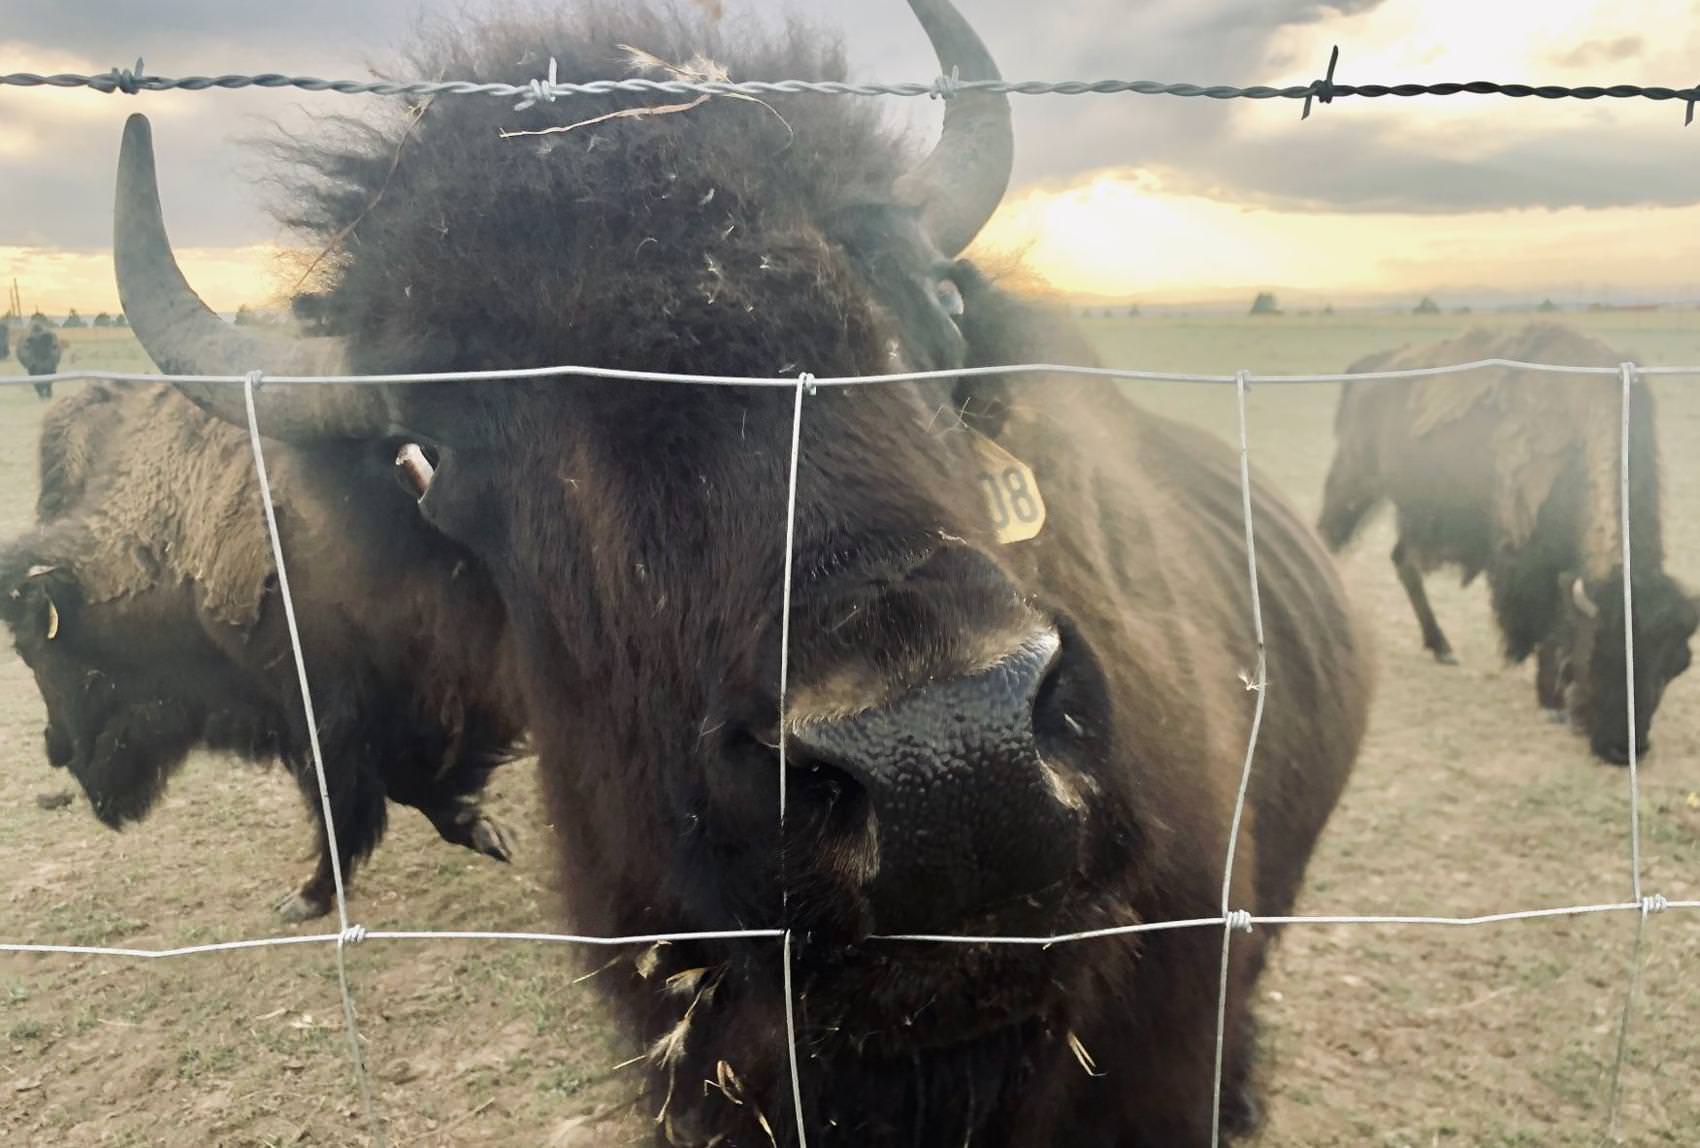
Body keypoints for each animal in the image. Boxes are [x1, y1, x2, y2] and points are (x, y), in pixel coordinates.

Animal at [0, 379, 526, 920]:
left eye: (31, 649)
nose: (56, 747)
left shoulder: (334, 710)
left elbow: (355, 795)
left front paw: (308, 896)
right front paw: (484, 830)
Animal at [1318, 322, 1696, 764]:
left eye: (1678, 664)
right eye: (1601, 651)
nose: (1624, 751)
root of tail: (1366, 367)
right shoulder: (1532, 568)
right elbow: (1547, 630)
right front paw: (1552, 703)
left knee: (1402, 562)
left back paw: (1442, 647)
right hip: (1354, 484)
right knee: (1327, 541)